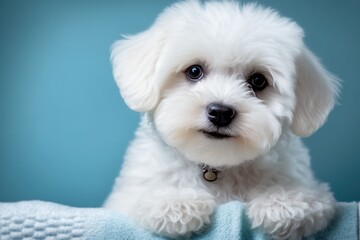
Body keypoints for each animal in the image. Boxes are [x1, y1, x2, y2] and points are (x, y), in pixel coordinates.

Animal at [104, 0, 340, 239]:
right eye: (194, 71)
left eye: (258, 80)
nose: (220, 112)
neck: (217, 166)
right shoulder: (126, 196)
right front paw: (175, 203)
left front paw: (284, 202)